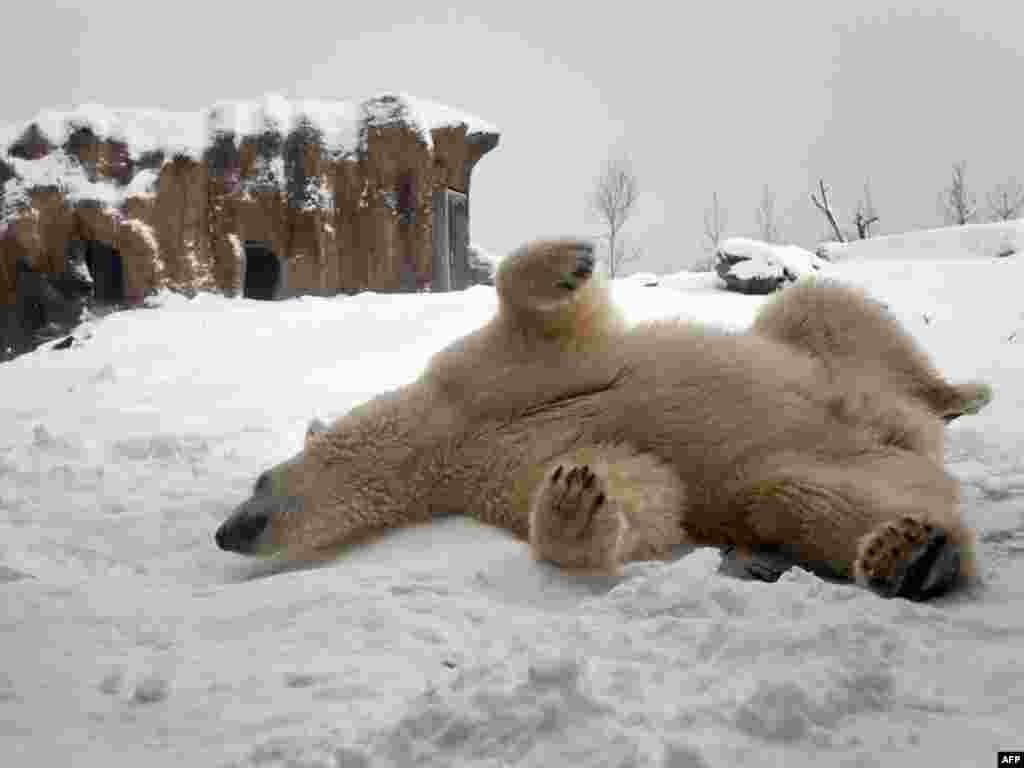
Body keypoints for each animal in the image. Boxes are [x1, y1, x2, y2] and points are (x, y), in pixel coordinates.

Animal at [216, 240, 991, 602]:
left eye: (258, 479)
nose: (225, 533)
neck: (446, 440)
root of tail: (905, 430)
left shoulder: (480, 375)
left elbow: (546, 321)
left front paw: (567, 263)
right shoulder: (492, 473)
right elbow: (647, 490)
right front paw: (573, 500)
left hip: (831, 359)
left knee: (824, 309)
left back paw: (964, 392)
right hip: (847, 463)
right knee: (800, 492)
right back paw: (910, 556)